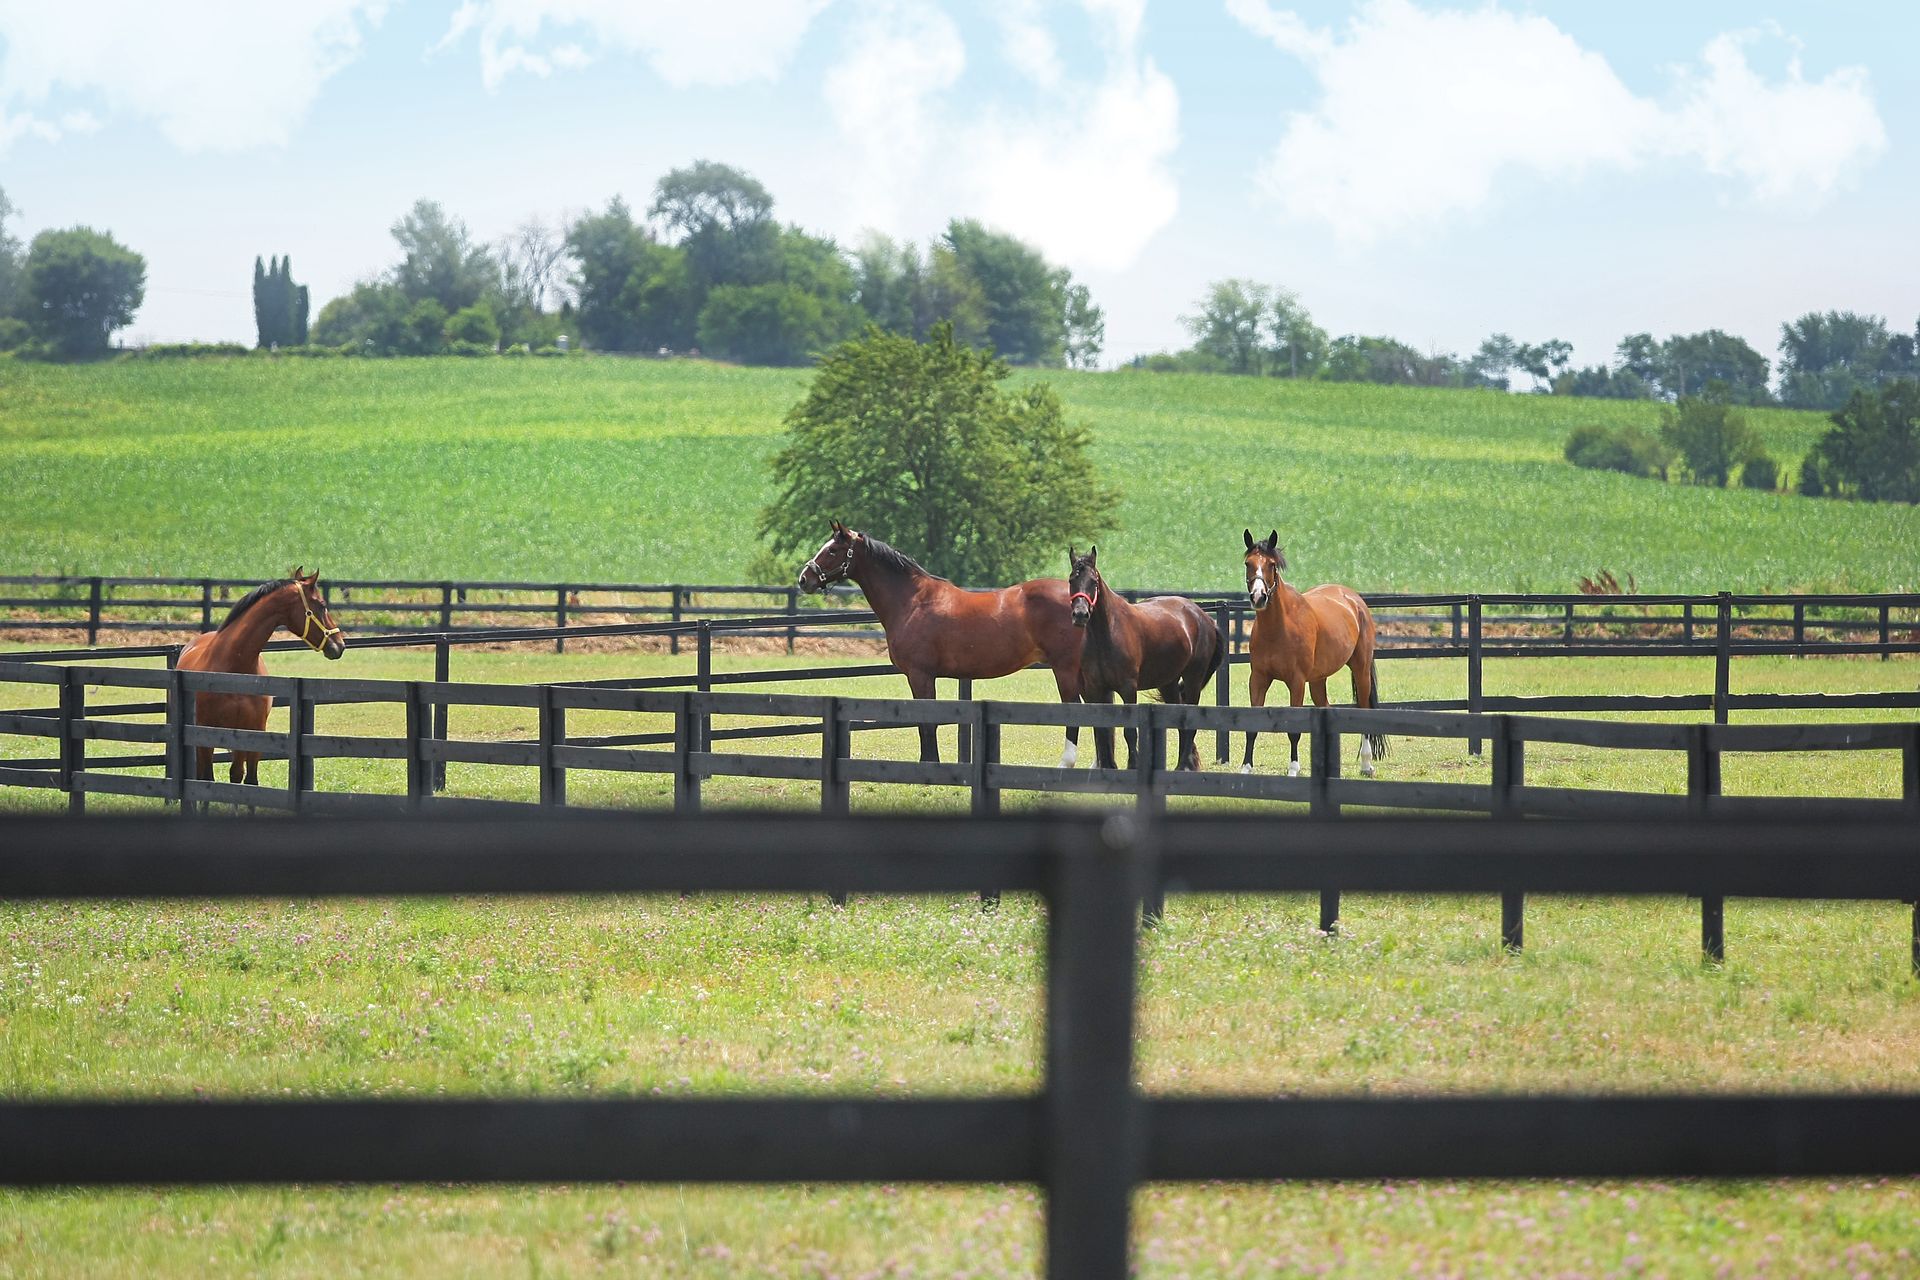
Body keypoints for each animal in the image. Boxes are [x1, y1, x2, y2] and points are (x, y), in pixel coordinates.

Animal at [176, 568, 346, 787]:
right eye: (322, 605)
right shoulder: (205, 731)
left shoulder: (253, 731)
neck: (235, 670)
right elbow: (207, 780)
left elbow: (247, 779)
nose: (339, 644)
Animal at [796, 521, 1085, 765]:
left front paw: (930, 765)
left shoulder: (920, 675)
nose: (804, 579)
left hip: (1065, 668)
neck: (912, 600)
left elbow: (927, 723)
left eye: (832, 550)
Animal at [1066, 545, 1224, 772]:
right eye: (1072, 580)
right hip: (1168, 684)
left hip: (1193, 679)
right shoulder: (1097, 689)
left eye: (1093, 581)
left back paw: (1182, 766)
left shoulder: (1128, 688)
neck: (1107, 633)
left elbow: (1130, 732)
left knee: (1190, 724)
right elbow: (1102, 730)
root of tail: (1203, 616)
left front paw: (1133, 765)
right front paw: (1108, 767)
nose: (1080, 614)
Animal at [1238, 530, 1387, 777]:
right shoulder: (1258, 679)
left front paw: (1293, 770)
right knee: (1326, 707)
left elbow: (1294, 731)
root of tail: (1353, 599)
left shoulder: (1296, 682)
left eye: (1271, 565)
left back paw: (1366, 765)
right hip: (1318, 680)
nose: (1258, 597)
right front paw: (1245, 769)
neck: (1279, 627)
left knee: (1364, 707)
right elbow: (1251, 726)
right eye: (1248, 563)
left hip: (1361, 669)